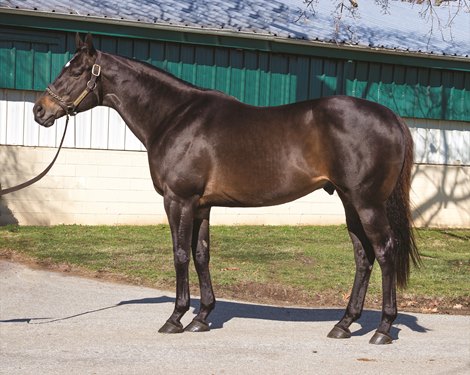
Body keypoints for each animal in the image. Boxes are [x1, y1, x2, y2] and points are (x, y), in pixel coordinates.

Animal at [35, 33, 420, 346]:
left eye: (74, 71)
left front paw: (176, 318)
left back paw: (383, 329)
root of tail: (391, 117)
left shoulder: (178, 200)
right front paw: (202, 317)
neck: (175, 118)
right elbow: (201, 254)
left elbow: (179, 254)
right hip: (349, 201)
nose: (40, 110)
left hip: (367, 202)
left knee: (384, 252)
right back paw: (344, 324)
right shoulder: (201, 205)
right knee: (363, 256)